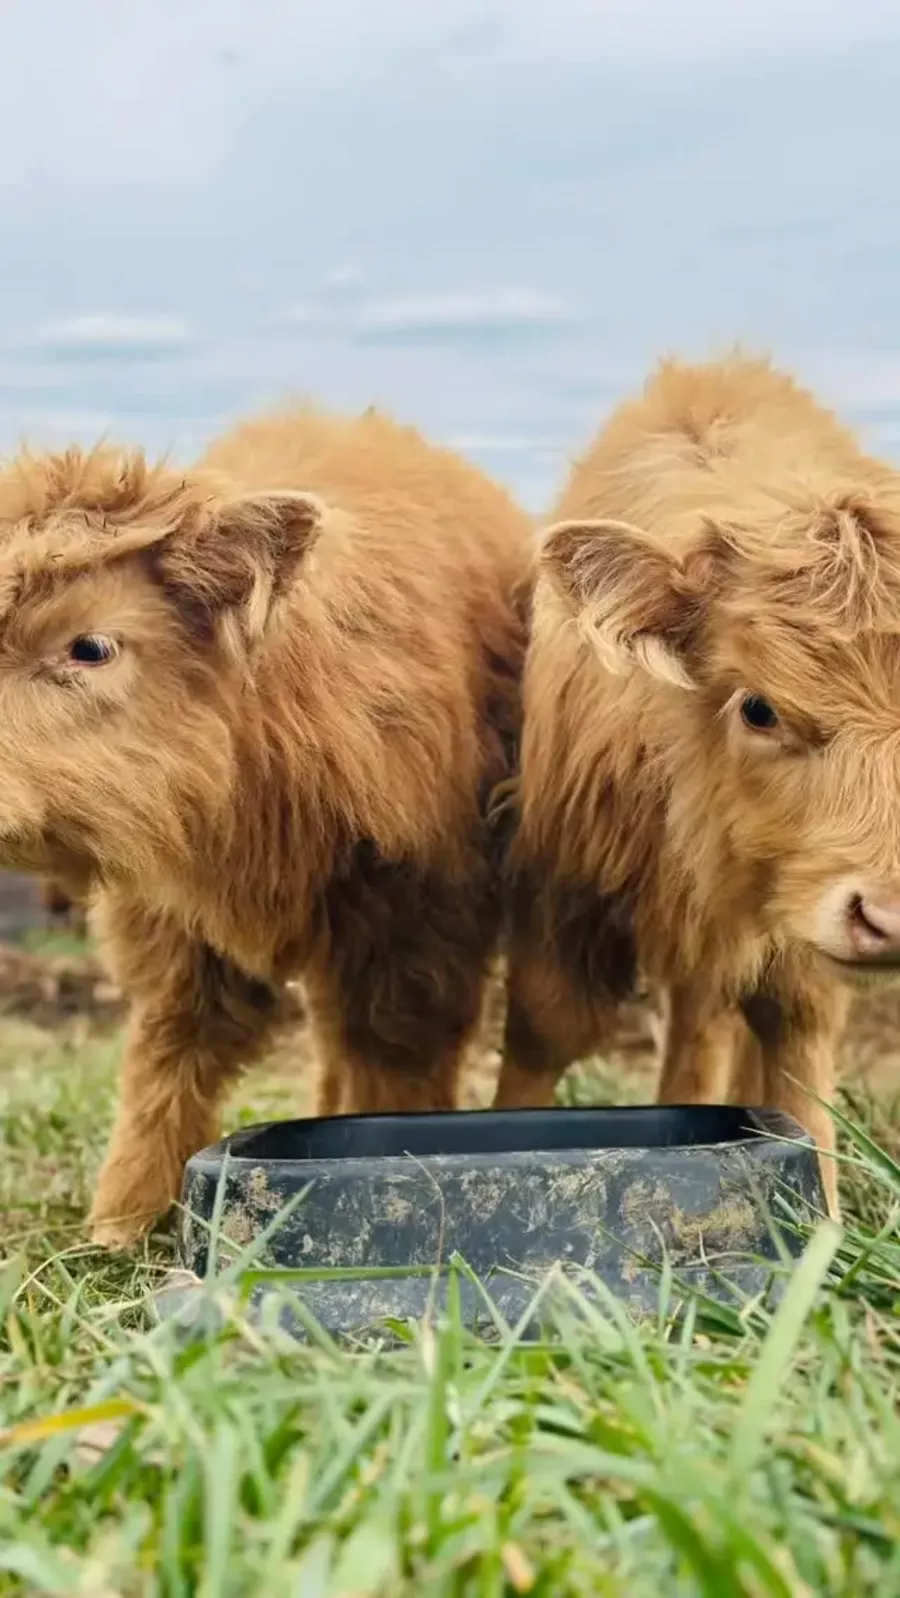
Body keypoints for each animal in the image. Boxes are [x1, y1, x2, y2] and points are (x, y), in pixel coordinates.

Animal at [0, 405, 532, 1245]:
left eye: (91, 646)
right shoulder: (170, 927)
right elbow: (169, 1058)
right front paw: (121, 1227)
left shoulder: (420, 928)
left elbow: (395, 1066)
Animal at [498, 351, 900, 1217]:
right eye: (758, 707)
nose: (890, 917)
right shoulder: (561, 885)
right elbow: (542, 1032)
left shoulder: (791, 930)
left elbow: (796, 1044)